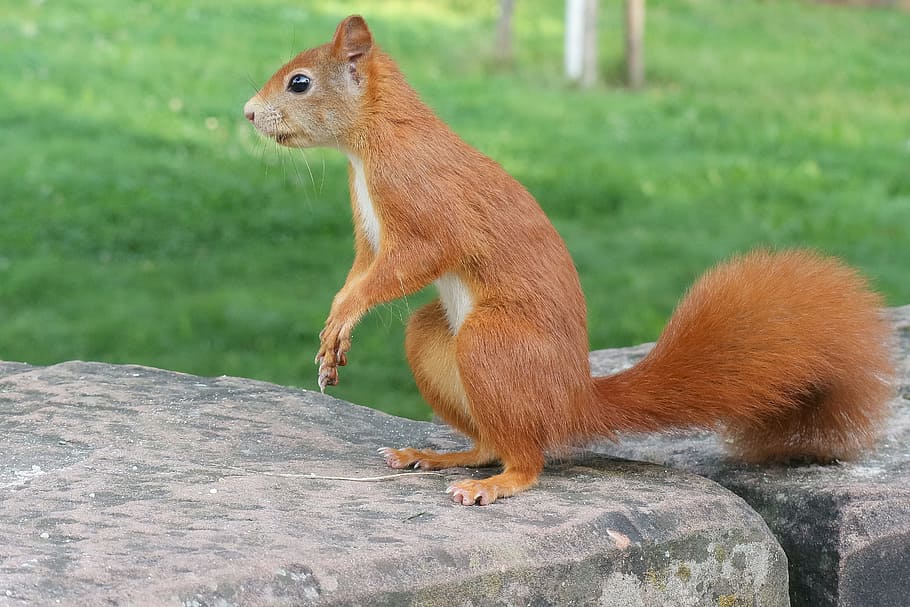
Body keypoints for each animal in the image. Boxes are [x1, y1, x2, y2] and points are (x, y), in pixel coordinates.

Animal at [243, 15, 894, 505]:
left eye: (299, 83)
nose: (248, 113)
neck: (372, 143)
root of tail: (575, 404)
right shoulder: (370, 238)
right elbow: (362, 268)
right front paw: (333, 334)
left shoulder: (425, 210)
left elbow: (407, 266)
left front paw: (341, 316)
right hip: (435, 339)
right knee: (491, 441)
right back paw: (438, 455)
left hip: (490, 342)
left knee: (528, 458)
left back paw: (497, 484)